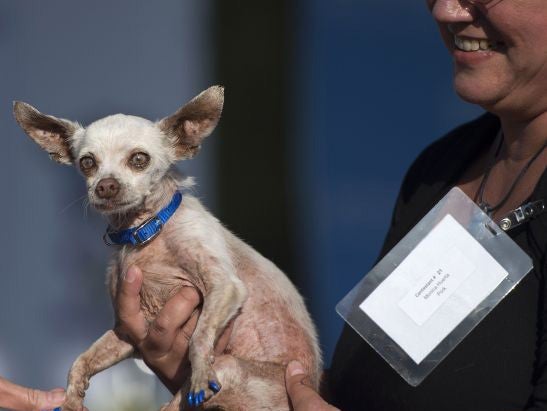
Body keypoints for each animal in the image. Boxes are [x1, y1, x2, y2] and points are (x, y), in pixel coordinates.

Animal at [13, 85, 322, 410]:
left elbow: (199, 337)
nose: (105, 186)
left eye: (139, 159)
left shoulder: (225, 286)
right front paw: (71, 400)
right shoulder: (129, 333)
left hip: (230, 368)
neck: (143, 232)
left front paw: (200, 375)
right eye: (87, 162)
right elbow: (81, 360)